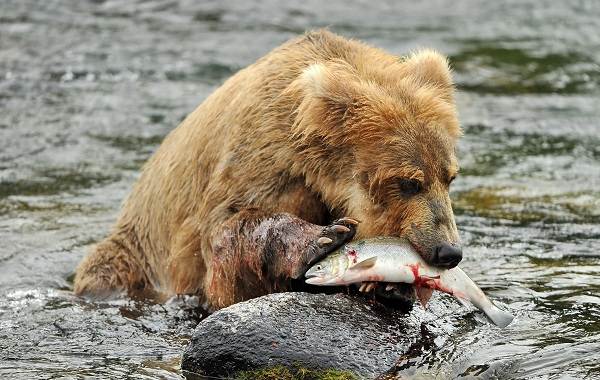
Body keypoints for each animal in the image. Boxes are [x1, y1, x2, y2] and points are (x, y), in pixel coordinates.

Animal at [74, 29, 460, 308]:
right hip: (134, 254)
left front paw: (390, 285)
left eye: (449, 177)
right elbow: (227, 232)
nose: (449, 251)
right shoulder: (263, 155)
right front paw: (324, 237)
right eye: (408, 182)